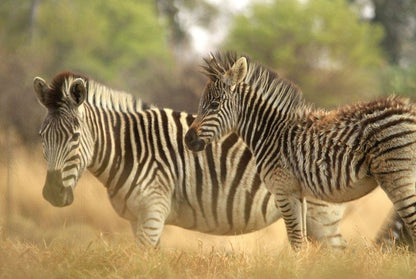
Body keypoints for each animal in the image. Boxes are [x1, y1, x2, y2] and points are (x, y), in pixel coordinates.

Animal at [32, 72, 346, 249]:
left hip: (321, 213)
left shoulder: (153, 211)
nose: (53, 194)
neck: (129, 148)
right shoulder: (138, 219)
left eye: (74, 136)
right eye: (42, 136)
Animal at [185, 51, 416, 250]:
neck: (271, 132)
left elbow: (295, 241)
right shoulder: (299, 193)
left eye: (214, 105)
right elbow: (302, 241)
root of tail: (409, 109)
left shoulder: (283, 190)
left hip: (398, 176)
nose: (188, 140)